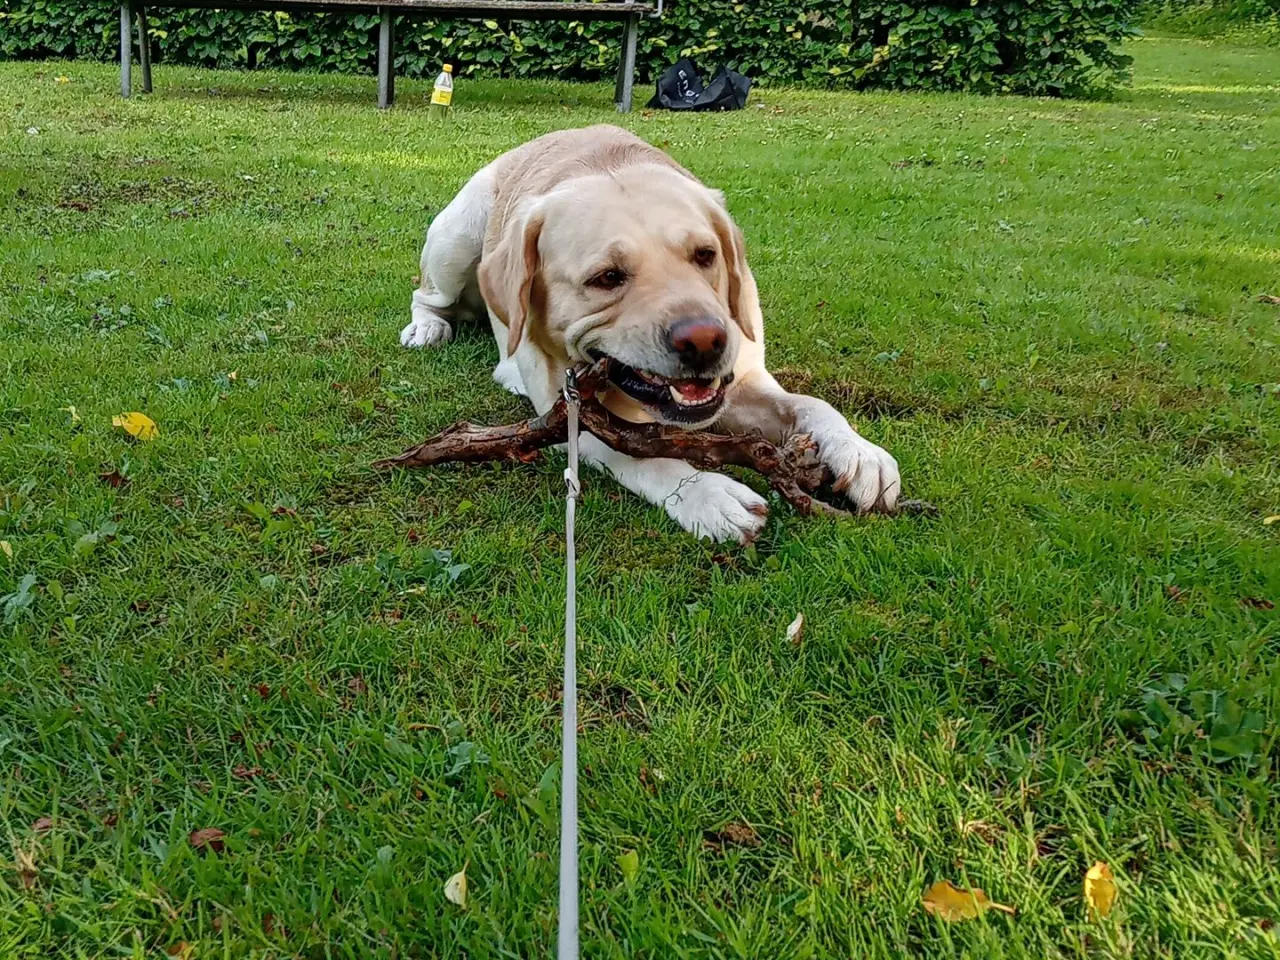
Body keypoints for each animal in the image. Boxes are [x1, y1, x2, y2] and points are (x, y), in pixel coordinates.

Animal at [399, 124, 901, 545]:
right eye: (607, 277)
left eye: (705, 255)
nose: (705, 341)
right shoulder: (568, 414)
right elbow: (638, 456)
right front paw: (706, 493)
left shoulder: (742, 383)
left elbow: (809, 404)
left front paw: (858, 452)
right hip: (457, 237)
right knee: (427, 294)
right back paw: (428, 326)